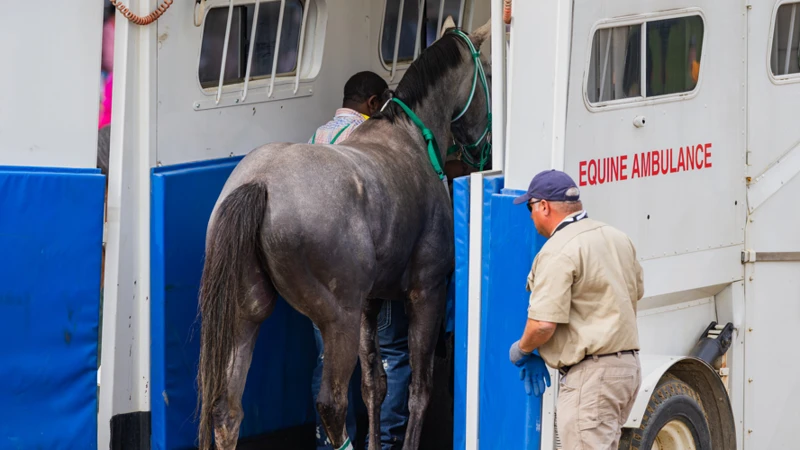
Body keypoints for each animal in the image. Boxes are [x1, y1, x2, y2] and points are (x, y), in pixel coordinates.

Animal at [197, 18, 490, 450]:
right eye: (489, 70)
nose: (485, 150)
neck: (409, 137)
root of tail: (260, 184)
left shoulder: (371, 301)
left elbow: (374, 387)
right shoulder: (428, 292)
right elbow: (418, 389)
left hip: (245, 312)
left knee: (226, 410)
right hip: (339, 319)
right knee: (331, 406)